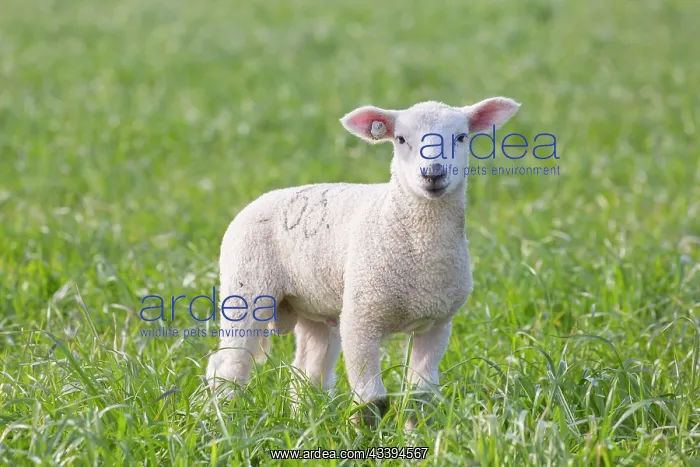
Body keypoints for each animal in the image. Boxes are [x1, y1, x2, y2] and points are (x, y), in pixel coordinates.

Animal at [206, 97, 521, 425]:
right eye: (400, 139)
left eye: (461, 137)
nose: (432, 173)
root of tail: (261, 199)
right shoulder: (361, 319)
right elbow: (372, 400)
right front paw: (368, 432)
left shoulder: (437, 323)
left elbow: (421, 396)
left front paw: (416, 431)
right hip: (245, 289)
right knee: (228, 364)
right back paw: (223, 418)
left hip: (313, 305)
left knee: (307, 371)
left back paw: (303, 419)